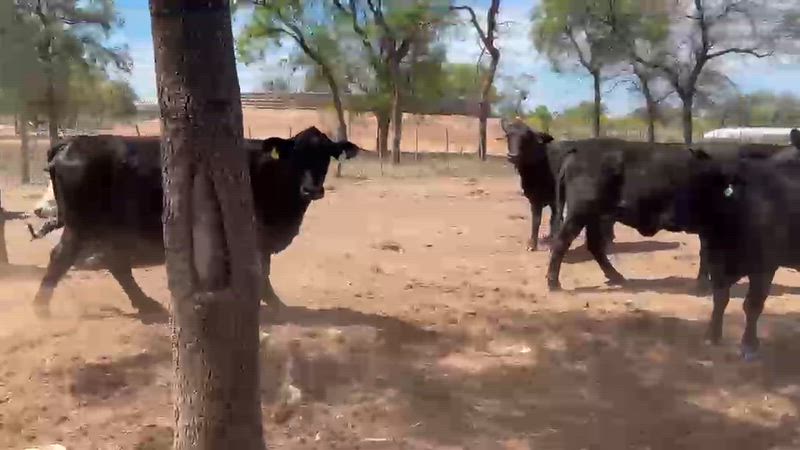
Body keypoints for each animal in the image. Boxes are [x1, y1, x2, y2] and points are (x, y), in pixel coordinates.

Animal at [32, 128, 359, 317]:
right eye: (296, 155)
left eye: (326, 155)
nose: (312, 189)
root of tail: (71, 142)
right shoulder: (255, 235)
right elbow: (260, 271)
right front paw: (273, 304)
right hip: (82, 225)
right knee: (61, 257)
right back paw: (41, 308)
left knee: (116, 265)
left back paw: (145, 304)